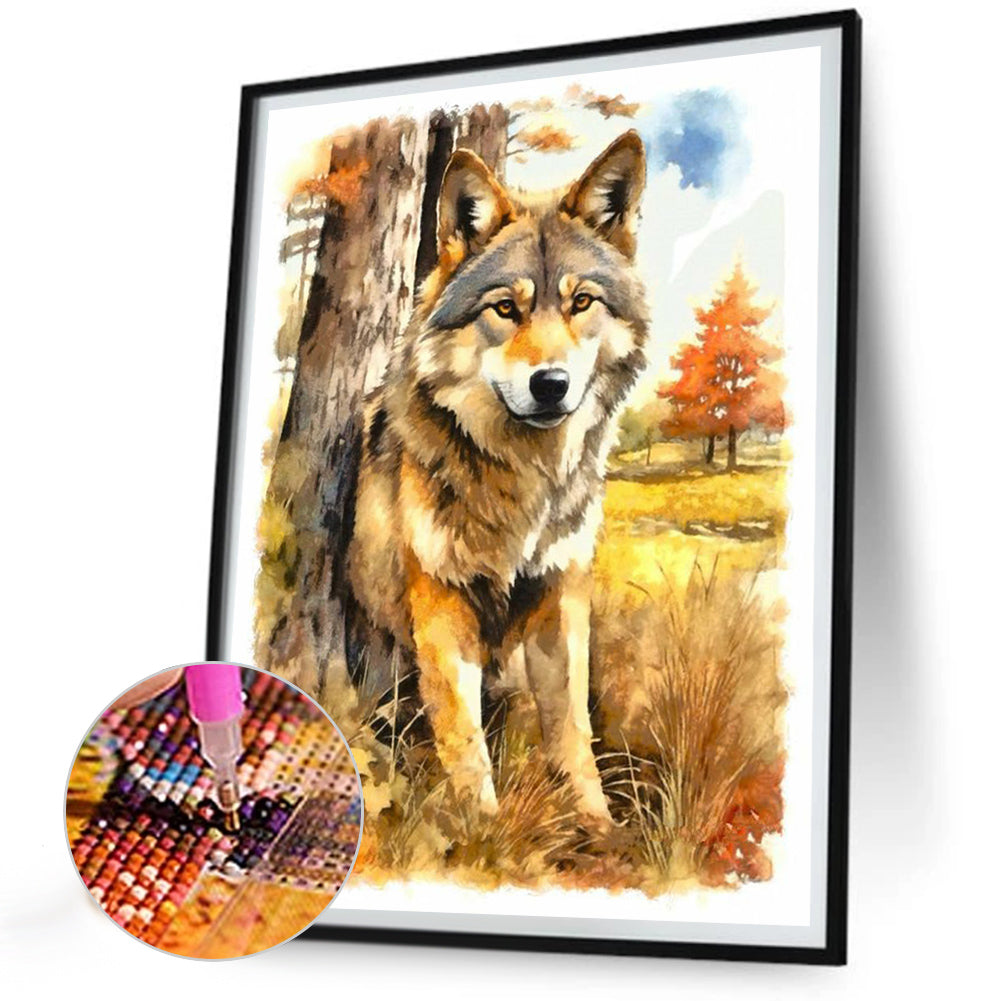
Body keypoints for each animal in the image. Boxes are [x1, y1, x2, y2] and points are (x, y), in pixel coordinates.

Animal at [342, 130, 649, 825]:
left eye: (581, 302)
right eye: (505, 308)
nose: (551, 384)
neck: (521, 480)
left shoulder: (561, 595)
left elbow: (572, 727)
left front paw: (598, 826)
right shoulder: (441, 602)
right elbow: (464, 738)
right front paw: (483, 831)